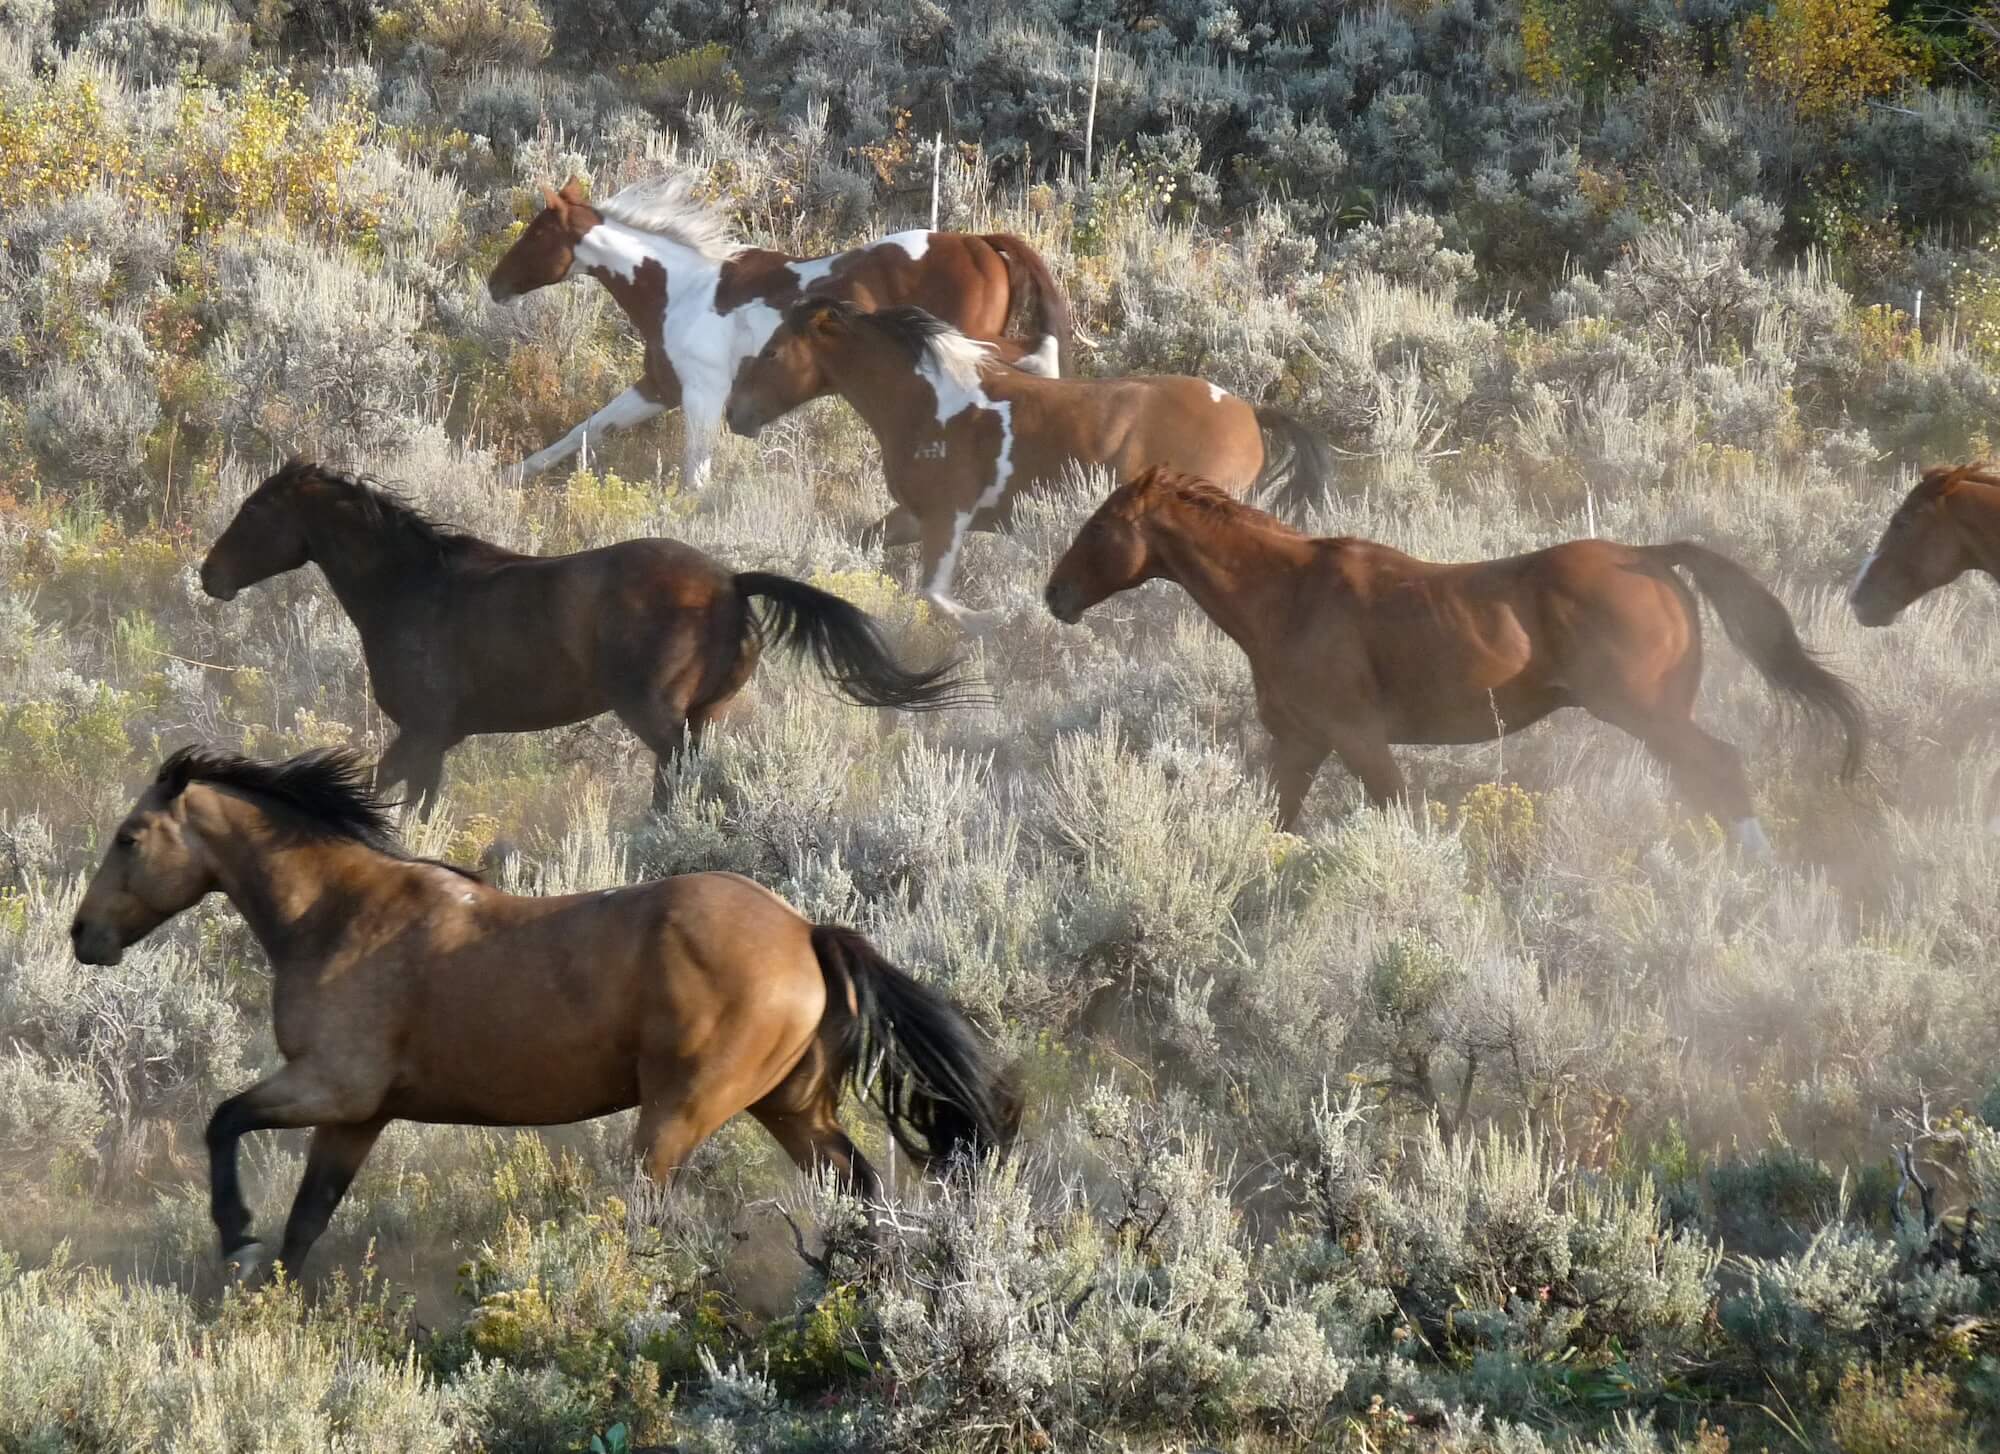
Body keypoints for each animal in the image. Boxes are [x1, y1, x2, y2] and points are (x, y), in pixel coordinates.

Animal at [68, 746, 1018, 1281]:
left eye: (128, 835)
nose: (84, 936)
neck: (338, 915)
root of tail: (804, 931)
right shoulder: (355, 1117)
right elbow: (307, 1224)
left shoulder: (329, 1086)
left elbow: (223, 1119)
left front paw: (233, 1235)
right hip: (789, 1108)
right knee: (858, 1188)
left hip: (682, 1113)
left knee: (651, 1209)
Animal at [200, 461, 975, 816]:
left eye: (253, 511)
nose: (210, 576)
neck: (410, 589)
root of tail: (729, 584)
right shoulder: (436, 739)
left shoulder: (423, 731)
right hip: (706, 713)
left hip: (656, 713)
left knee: (677, 775)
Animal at [485, 175, 1072, 489]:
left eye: (537, 233)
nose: (495, 284)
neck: (680, 289)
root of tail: (980, 242)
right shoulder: (658, 387)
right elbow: (584, 431)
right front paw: (511, 474)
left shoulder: (702, 396)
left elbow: (695, 475)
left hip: (964, 341)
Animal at [724, 301, 1332, 631]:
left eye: (773, 352)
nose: (734, 413)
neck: (930, 401)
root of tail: (1248, 411)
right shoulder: (914, 516)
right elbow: (865, 545)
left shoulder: (947, 518)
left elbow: (935, 594)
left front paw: (992, 622)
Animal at [1043, 468, 1866, 849]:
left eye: (1101, 526)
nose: (1054, 594)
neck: (1290, 596)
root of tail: (1651, 556)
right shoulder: (1302, 742)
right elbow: (1276, 820)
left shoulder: (1360, 741)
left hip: (1646, 713)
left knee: (1721, 767)